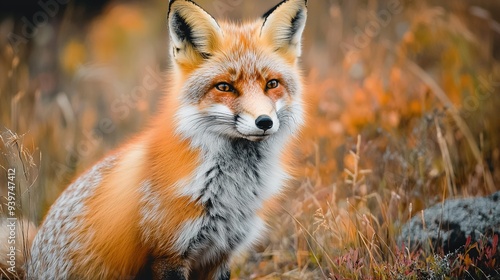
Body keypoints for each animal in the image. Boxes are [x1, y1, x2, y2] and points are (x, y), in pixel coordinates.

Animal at [25, 1, 306, 278]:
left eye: (272, 84)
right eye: (224, 87)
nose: (264, 122)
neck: (229, 193)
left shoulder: (220, 254)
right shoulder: (168, 255)